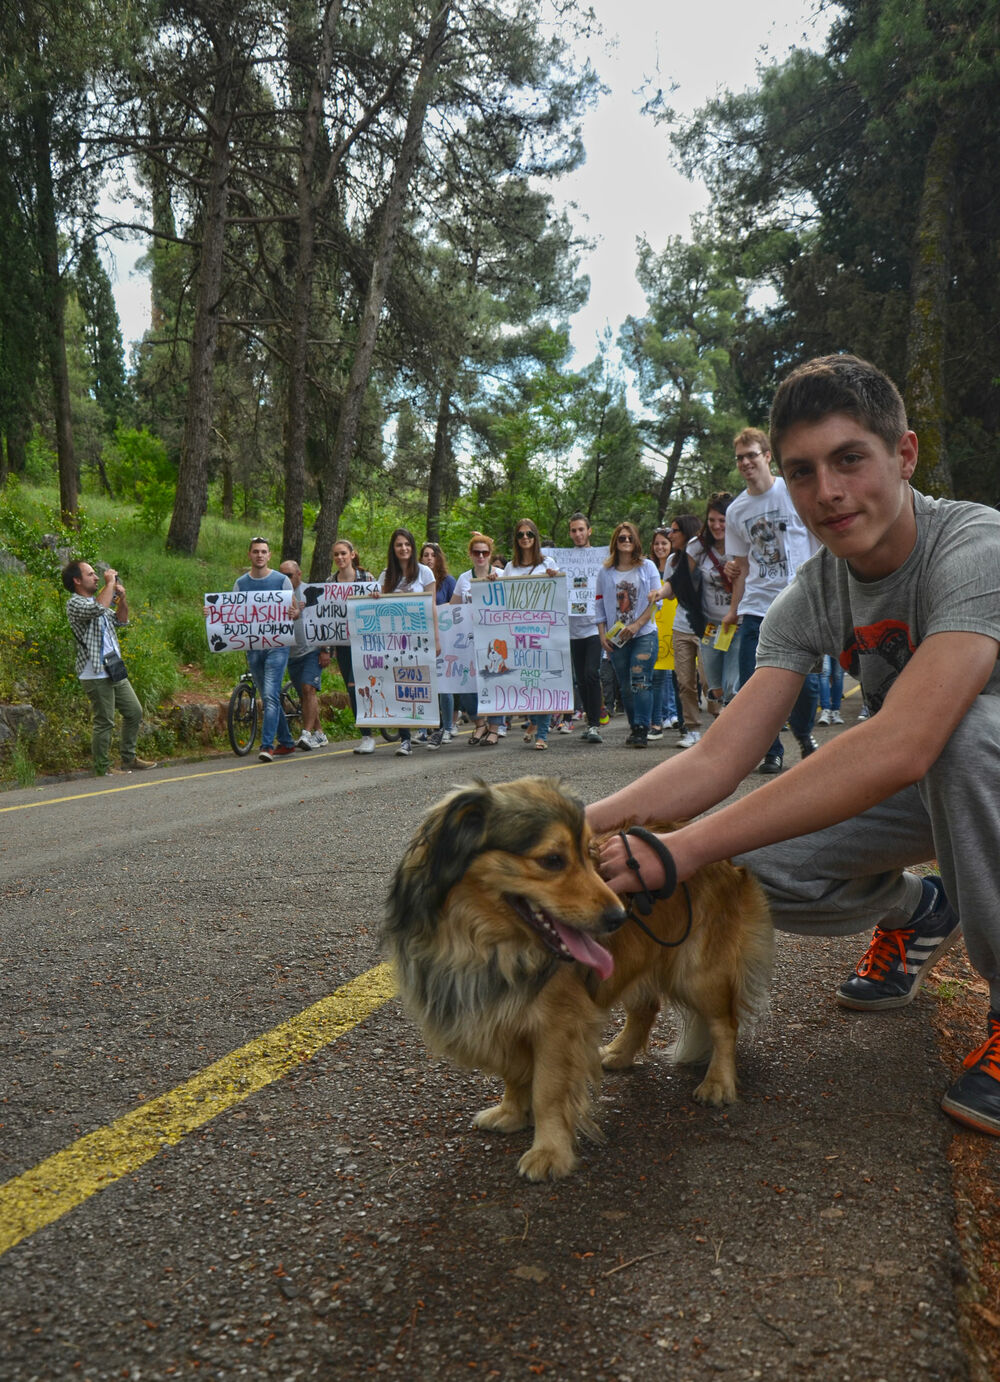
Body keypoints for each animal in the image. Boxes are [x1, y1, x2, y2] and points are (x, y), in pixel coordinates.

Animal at [383, 779, 773, 1177]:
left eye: (589, 854)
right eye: (552, 860)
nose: (620, 917)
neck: (489, 947)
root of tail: (729, 859)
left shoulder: (558, 1026)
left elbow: (547, 1092)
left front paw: (550, 1151)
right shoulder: (501, 1018)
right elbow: (513, 1073)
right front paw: (511, 1113)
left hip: (700, 973)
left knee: (725, 1025)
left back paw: (718, 1082)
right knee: (646, 1007)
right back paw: (619, 1052)